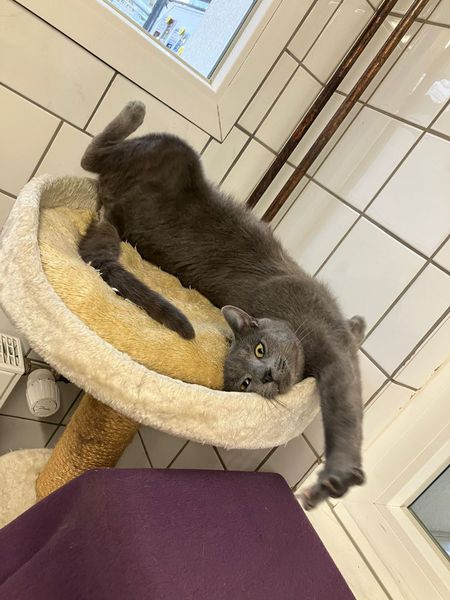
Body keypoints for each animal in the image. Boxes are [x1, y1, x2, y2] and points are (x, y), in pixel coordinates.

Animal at [79, 101, 366, 509]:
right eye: (245, 383)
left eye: (260, 349)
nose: (265, 376)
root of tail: (111, 211)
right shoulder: (333, 354)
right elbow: (344, 408)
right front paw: (332, 479)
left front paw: (359, 324)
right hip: (174, 151)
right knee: (92, 155)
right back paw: (135, 110)